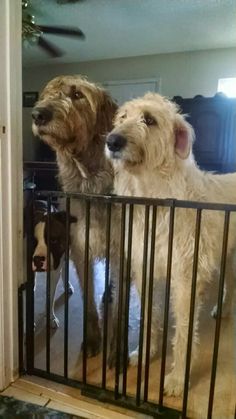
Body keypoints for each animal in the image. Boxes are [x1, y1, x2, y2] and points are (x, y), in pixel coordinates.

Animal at [32, 75, 119, 360]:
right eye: (47, 94)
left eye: (78, 95)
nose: (38, 114)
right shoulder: (82, 247)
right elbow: (88, 301)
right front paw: (92, 339)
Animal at [105, 92, 236, 398]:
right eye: (122, 117)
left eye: (149, 120)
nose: (112, 141)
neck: (154, 197)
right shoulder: (144, 268)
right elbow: (149, 315)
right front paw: (145, 353)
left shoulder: (186, 277)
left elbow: (185, 331)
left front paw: (177, 379)